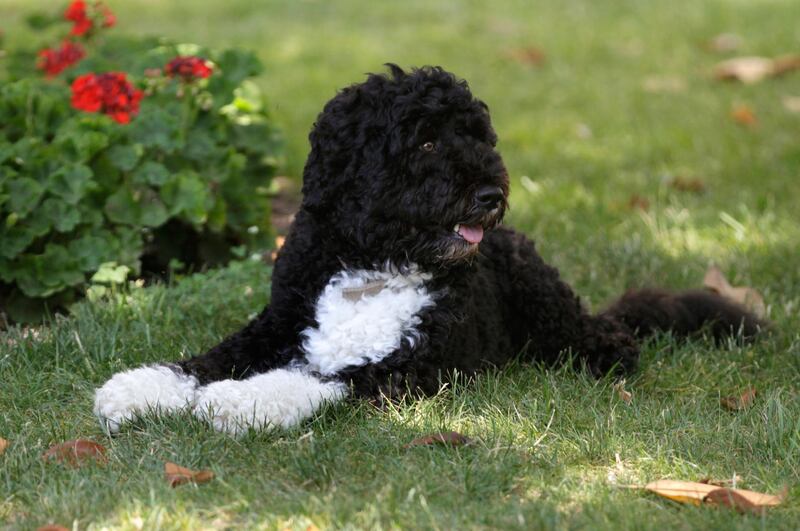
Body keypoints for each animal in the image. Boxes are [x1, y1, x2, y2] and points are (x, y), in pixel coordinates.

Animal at [90, 64, 760, 434]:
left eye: (478, 135)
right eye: (427, 141)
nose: (491, 193)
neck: (372, 263)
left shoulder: (411, 363)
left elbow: (320, 377)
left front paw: (242, 401)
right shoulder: (278, 321)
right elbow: (207, 359)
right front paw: (141, 388)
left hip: (554, 310)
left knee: (614, 340)